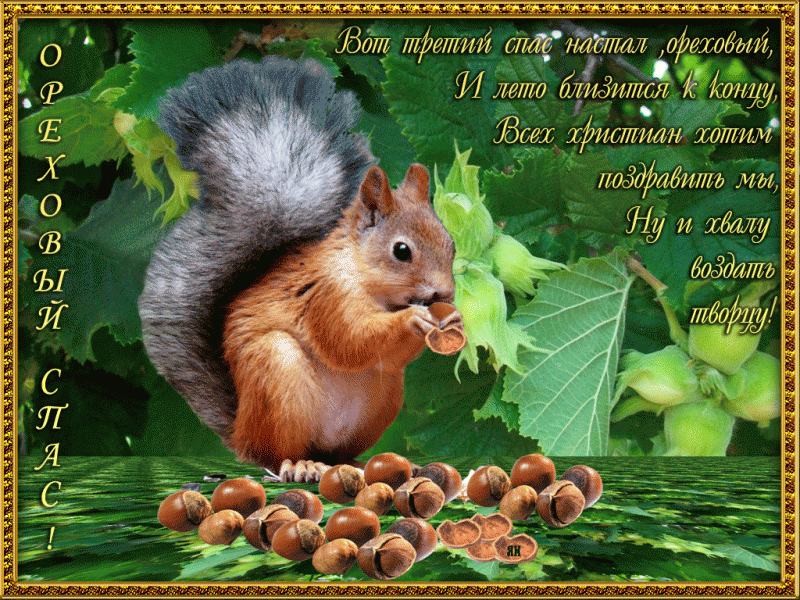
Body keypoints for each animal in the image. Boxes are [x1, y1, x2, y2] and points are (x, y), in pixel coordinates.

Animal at [138, 57, 460, 482]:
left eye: (451, 243)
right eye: (402, 251)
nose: (445, 294)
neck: (364, 276)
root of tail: (241, 432)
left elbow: (385, 355)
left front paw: (451, 319)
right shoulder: (327, 295)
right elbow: (349, 340)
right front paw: (413, 319)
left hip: (385, 396)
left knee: (337, 450)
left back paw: (359, 463)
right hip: (278, 373)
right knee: (276, 454)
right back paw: (298, 464)